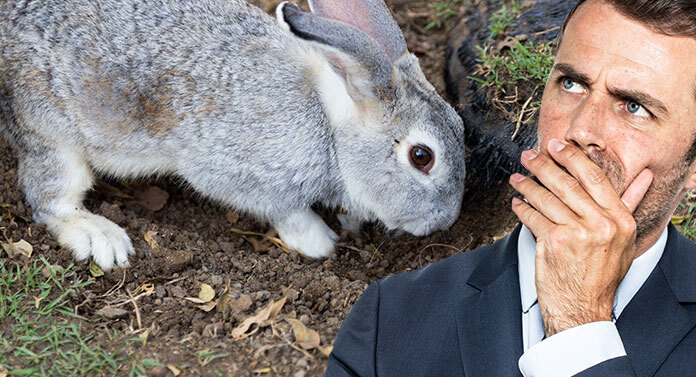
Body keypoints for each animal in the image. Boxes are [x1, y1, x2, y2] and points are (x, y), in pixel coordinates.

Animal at [1, 0, 468, 270]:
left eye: (462, 128)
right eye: (422, 156)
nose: (444, 221)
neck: (330, 130)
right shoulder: (240, 174)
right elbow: (286, 210)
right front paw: (319, 241)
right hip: (51, 129)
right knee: (49, 199)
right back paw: (102, 238)